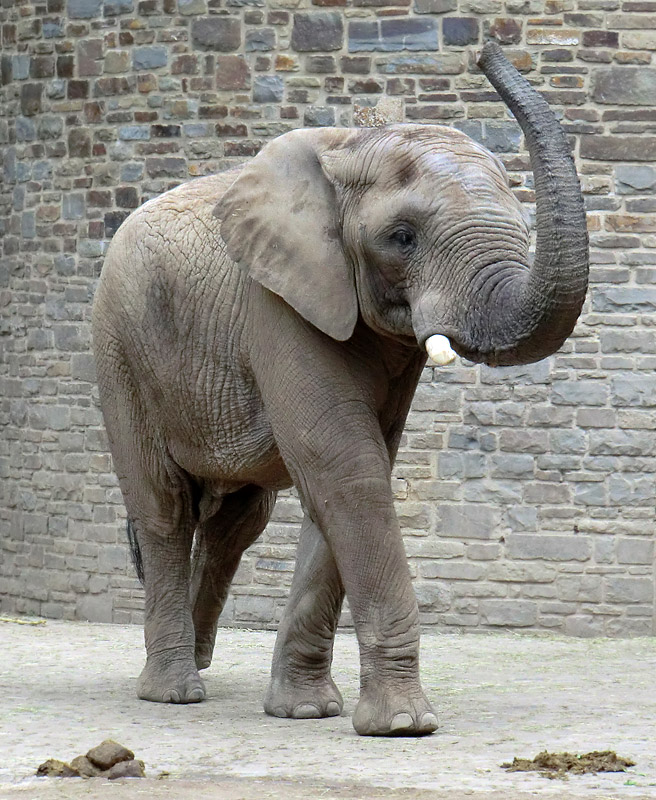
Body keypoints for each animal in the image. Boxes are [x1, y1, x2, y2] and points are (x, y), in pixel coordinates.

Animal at [92, 40, 588, 736]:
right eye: (402, 237)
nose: (485, 49)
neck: (352, 143)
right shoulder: (277, 299)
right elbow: (343, 465)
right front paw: (404, 727)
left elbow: (355, 469)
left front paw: (305, 711)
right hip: (119, 347)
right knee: (163, 507)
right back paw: (175, 691)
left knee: (238, 522)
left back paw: (198, 656)